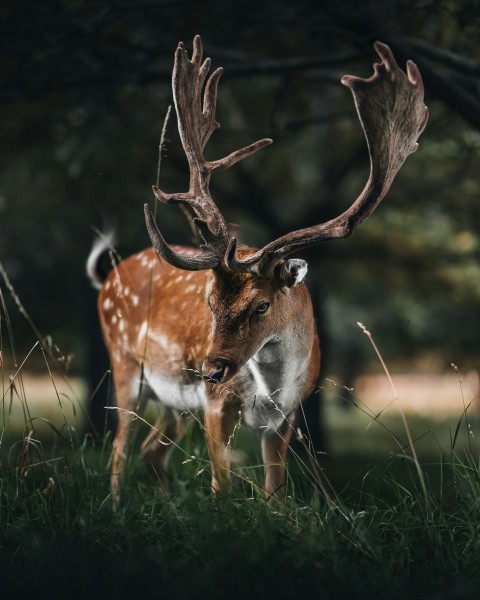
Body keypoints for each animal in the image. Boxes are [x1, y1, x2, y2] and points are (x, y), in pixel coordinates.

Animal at [89, 32, 428, 502]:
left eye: (261, 305)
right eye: (209, 302)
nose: (210, 369)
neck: (270, 392)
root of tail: (108, 278)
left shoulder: (287, 418)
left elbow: (275, 492)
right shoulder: (216, 404)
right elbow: (222, 485)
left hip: (174, 403)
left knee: (150, 449)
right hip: (123, 365)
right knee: (118, 451)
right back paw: (119, 505)